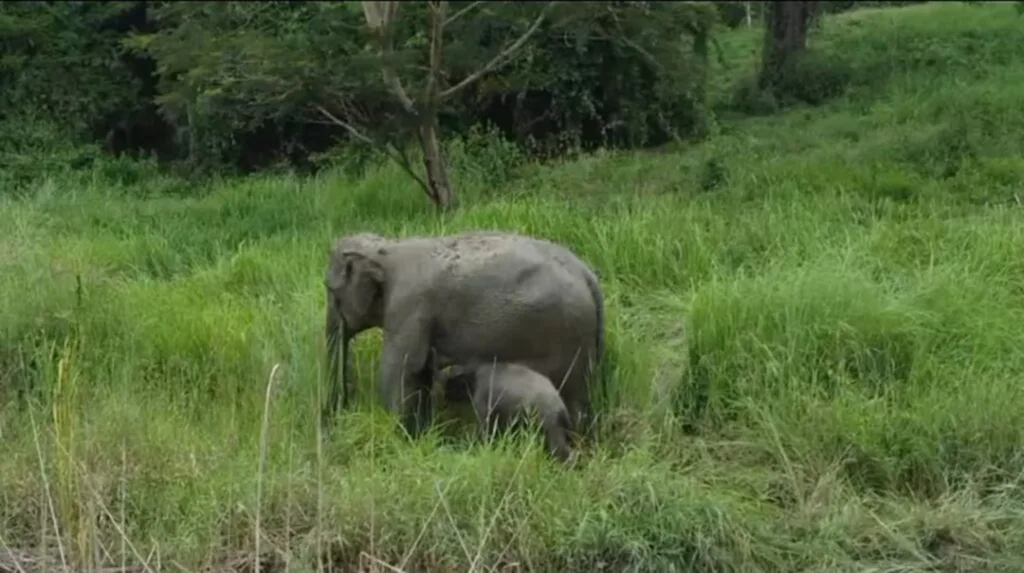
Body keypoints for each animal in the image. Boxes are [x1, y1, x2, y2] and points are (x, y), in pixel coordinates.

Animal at [323, 230, 602, 435]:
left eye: (330, 290)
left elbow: (400, 371)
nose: (339, 413)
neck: (387, 248)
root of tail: (588, 275)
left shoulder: (408, 306)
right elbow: (421, 371)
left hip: (565, 339)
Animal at [436, 362, 573, 466]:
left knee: (566, 453)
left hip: (551, 430)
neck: (475, 376)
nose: (445, 398)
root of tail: (561, 406)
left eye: (449, 383)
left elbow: (484, 434)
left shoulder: (484, 409)